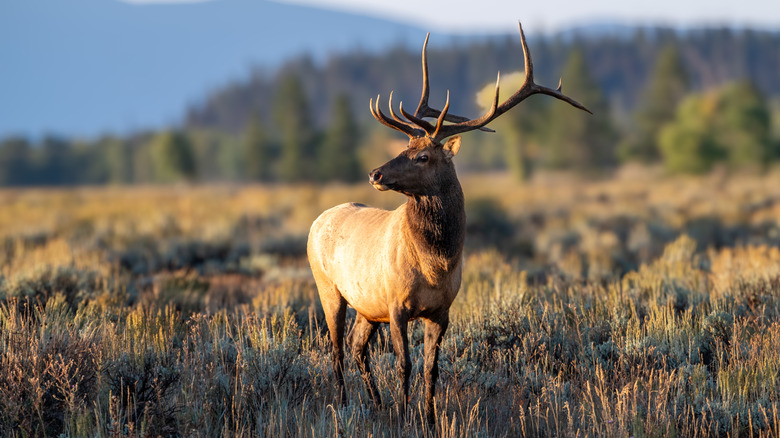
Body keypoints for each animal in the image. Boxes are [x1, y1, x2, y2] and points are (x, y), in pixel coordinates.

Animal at [307, 22, 591, 424]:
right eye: (405, 148)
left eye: (423, 156)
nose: (375, 173)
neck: (436, 263)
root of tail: (317, 221)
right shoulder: (396, 305)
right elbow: (405, 365)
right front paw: (404, 416)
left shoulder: (440, 311)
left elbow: (431, 368)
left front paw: (427, 417)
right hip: (328, 288)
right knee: (335, 350)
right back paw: (345, 406)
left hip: (366, 304)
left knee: (356, 346)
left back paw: (375, 404)